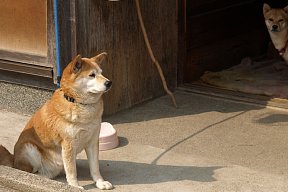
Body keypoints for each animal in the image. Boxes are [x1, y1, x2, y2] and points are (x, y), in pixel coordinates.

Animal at [0, 52, 113, 190]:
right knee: (30, 172)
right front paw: (74, 186)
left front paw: (100, 182)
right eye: (92, 75)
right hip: (29, 149)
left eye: (101, 73)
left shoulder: (92, 141)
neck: (78, 103)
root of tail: (13, 160)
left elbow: (95, 167)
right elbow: (72, 171)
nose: (109, 82)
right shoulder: (68, 144)